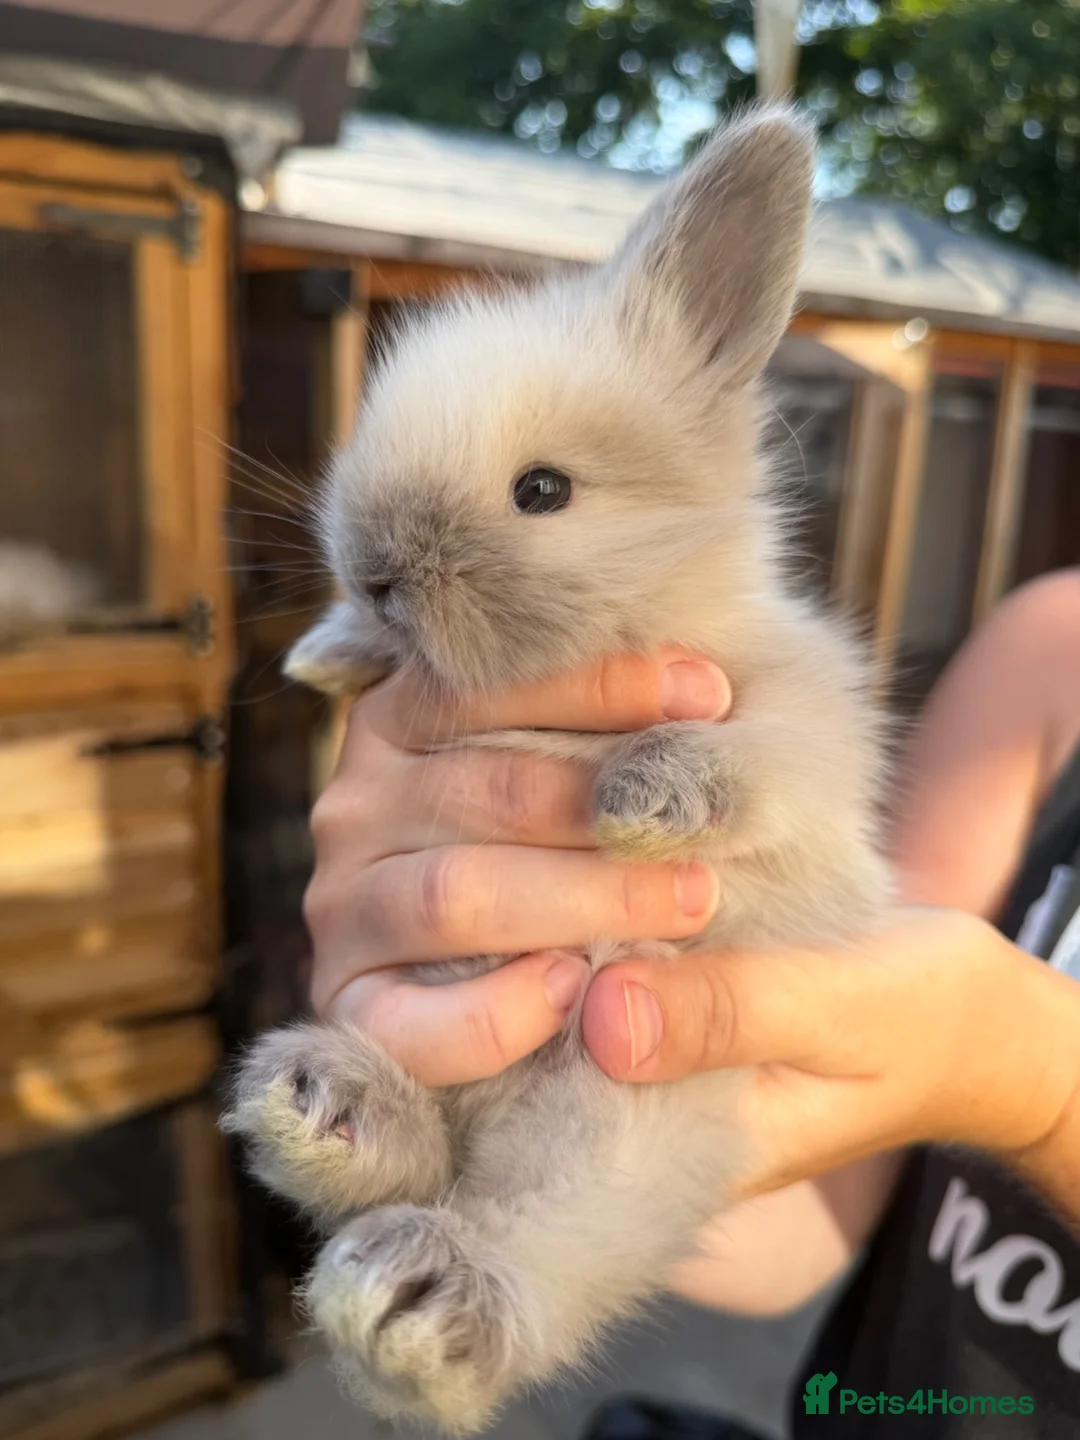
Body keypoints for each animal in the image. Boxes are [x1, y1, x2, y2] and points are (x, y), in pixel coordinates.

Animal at [223, 105, 892, 1434]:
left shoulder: (803, 725)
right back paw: (324, 1102)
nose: (374, 571)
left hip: (610, 1119)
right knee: (422, 1158)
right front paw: (330, 653)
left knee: (521, 1252)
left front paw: (644, 801)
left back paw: (420, 1295)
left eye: (543, 491)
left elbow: (765, 755)